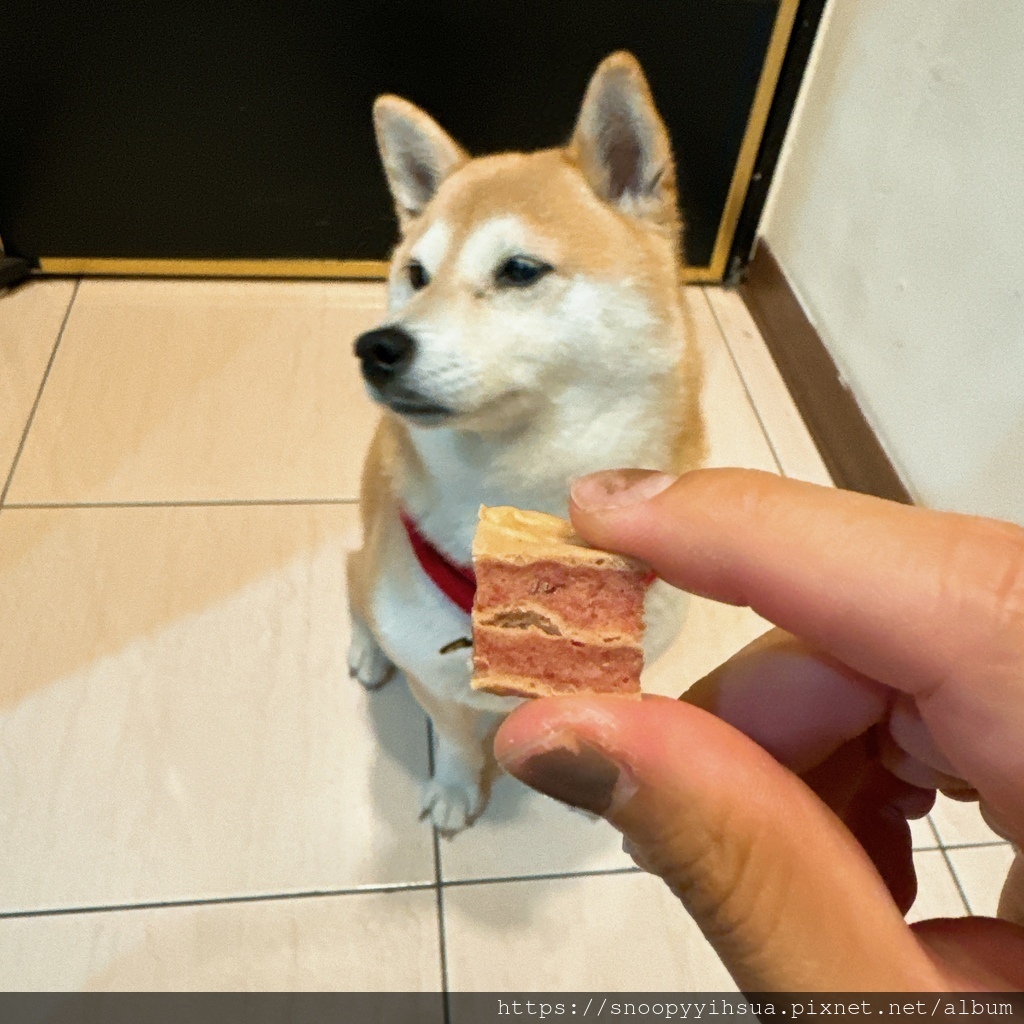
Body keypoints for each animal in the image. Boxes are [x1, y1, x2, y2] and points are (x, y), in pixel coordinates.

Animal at [348, 51, 708, 831]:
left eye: (518, 270)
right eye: (415, 275)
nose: (377, 347)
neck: (520, 490)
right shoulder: (437, 680)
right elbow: (455, 741)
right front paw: (457, 791)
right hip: (372, 568)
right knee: (351, 578)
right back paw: (368, 648)